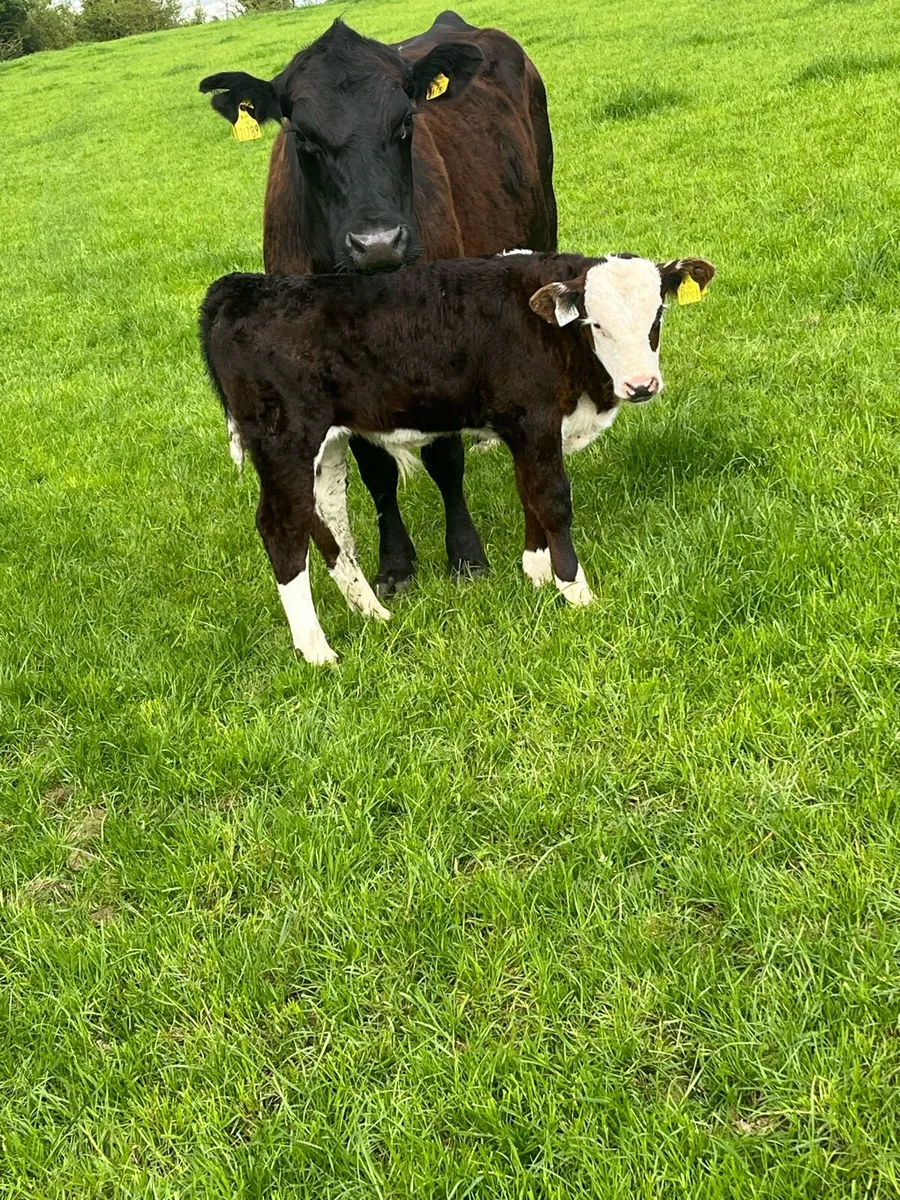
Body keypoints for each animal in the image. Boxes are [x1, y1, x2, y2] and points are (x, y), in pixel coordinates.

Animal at [199, 11, 557, 596]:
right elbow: (376, 470)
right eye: (302, 136)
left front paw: (466, 556)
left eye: (406, 122)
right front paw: (397, 565)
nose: (378, 243)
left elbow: (444, 455)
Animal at [200, 250, 716, 663]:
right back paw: (316, 649)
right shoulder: (535, 419)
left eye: (657, 316)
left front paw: (536, 571)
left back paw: (371, 611)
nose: (641, 386)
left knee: (326, 519)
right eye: (597, 323)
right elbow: (552, 500)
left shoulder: (523, 430)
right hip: (285, 440)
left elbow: (529, 492)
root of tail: (243, 287)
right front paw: (575, 589)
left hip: (323, 445)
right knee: (282, 528)